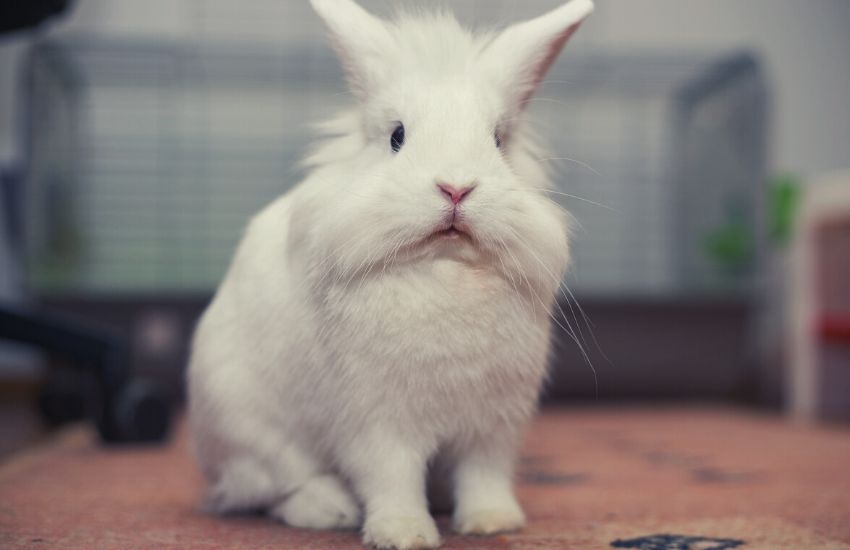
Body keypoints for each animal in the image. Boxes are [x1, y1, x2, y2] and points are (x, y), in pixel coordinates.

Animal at [189, 2, 592, 548]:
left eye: (498, 139)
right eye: (398, 136)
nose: (456, 187)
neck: (444, 269)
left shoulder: (494, 425)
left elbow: (484, 475)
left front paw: (492, 521)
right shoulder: (377, 424)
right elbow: (392, 479)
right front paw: (404, 533)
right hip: (246, 427)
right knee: (272, 487)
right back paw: (329, 509)